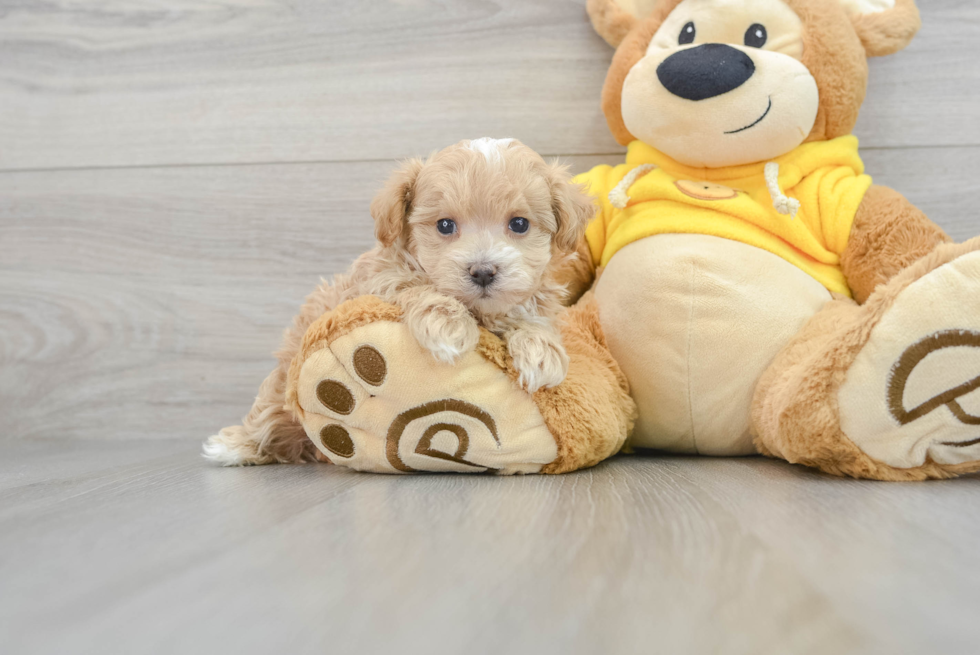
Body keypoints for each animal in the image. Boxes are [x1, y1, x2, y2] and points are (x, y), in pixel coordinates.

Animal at [203, 138, 592, 466]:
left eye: (520, 224)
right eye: (445, 225)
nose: (482, 272)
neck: (481, 311)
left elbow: (531, 315)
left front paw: (540, 352)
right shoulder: (379, 278)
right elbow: (415, 286)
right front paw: (449, 326)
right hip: (282, 384)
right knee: (267, 414)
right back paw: (235, 445)